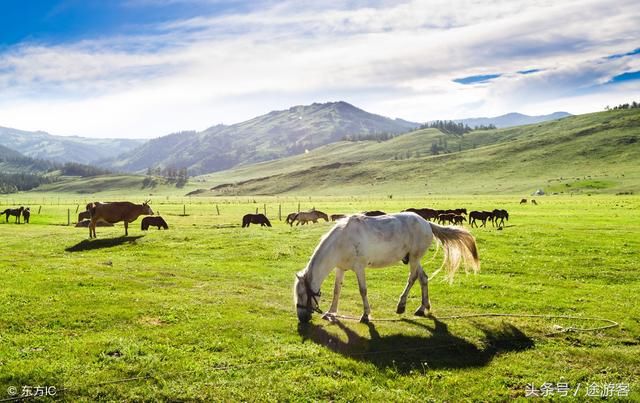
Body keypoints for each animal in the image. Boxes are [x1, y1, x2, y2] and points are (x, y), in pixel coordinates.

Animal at [292, 213, 478, 324]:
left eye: (302, 294)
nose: (301, 318)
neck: (341, 241)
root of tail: (426, 223)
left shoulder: (359, 268)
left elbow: (363, 290)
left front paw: (365, 315)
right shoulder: (340, 268)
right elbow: (337, 290)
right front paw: (331, 313)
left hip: (414, 259)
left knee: (412, 278)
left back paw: (401, 306)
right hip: (414, 259)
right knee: (423, 278)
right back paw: (421, 308)